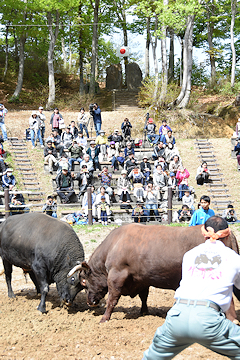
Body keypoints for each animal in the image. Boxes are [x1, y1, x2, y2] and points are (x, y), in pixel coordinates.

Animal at [79, 224, 240, 322]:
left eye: (85, 283)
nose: (89, 302)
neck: (114, 245)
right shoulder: (142, 279)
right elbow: (144, 296)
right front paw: (144, 312)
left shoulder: (116, 276)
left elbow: (112, 299)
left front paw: (104, 318)